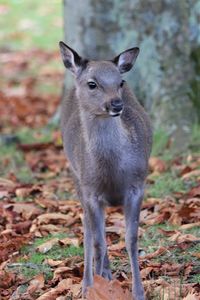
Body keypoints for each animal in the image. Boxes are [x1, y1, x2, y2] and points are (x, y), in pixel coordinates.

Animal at [58, 40, 152, 300]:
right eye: (92, 83)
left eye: (120, 82)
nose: (117, 104)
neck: (112, 174)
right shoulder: (90, 191)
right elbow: (98, 240)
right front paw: (95, 288)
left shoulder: (137, 185)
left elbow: (131, 239)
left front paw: (138, 292)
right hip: (76, 177)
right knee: (88, 228)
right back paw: (89, 282)